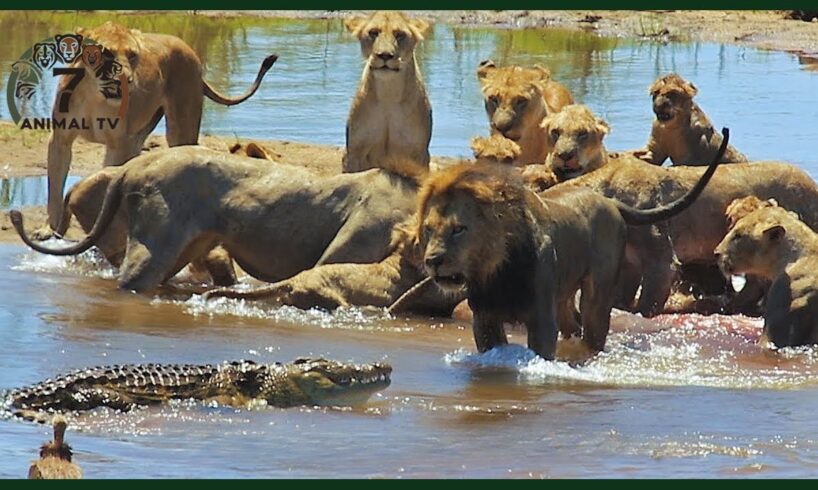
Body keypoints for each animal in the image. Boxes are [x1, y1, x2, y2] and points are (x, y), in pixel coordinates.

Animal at [40, 21, 278, 238]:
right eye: (106, 53)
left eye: (133, 55)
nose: (126, 79)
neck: (94, 95)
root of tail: (187, 47)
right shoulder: (60, 139)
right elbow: (54, 188)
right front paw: (48, 229)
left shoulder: (118, 145)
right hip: (139, 136)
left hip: (180, 126)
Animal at [342, 11, 432, 174]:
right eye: (373, 32)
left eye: (400, 34)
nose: (384, 55)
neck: (388, 93)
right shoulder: (354, 152)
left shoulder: (419, 154)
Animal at [412, 146, 723, 359]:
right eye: (428, 229)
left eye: (458, 229)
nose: (432, 260)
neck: (497, 270)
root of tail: (610, 201)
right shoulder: (485, 318)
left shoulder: (540, 318)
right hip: (562, 295)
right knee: (571, 322)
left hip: (597, 291)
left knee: (593, 326)